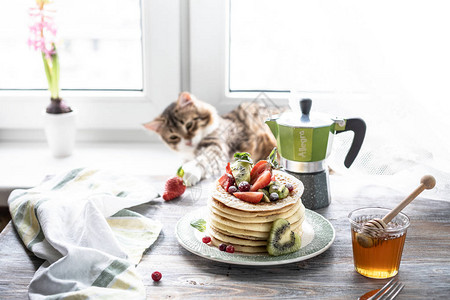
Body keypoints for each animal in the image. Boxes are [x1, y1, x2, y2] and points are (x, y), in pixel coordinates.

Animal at [144, 92, 280, 185]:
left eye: (189, 125)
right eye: (174, 137)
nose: (188, 142)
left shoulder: (217, 144)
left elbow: (204, 159)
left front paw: (188, 171)